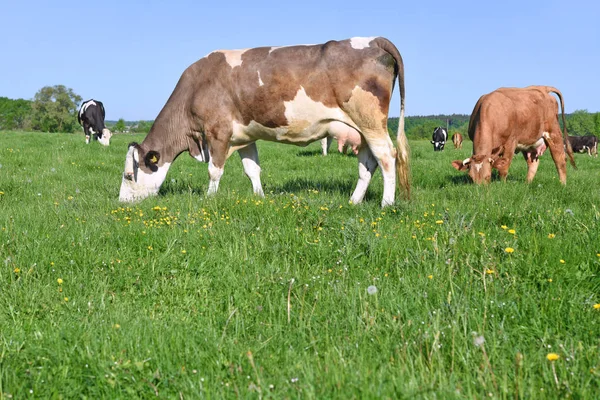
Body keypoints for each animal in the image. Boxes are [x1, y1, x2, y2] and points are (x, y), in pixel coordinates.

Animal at [118, 37, 408, 206]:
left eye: (128, 175)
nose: (121, 203)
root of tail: (372, 40)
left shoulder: (217, 132)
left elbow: (214, 170)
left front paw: (209, 199)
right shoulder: (243, 136)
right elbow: (252, 169)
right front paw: (260, 197)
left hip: (371, 122)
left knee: (387, 157)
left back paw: (387, 204)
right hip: (360, 130)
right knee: (367, 164)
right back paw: (354, 201)